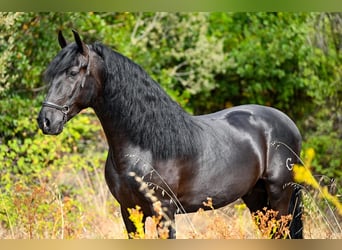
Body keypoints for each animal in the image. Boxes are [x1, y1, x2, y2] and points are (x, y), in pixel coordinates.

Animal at [38, 30, 302, 239]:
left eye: (73, 72)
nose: (46, 121)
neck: (144, 147)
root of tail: (286, 122)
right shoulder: (129, 212)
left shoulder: (164, 212)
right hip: (256, 198)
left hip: (279, 197)